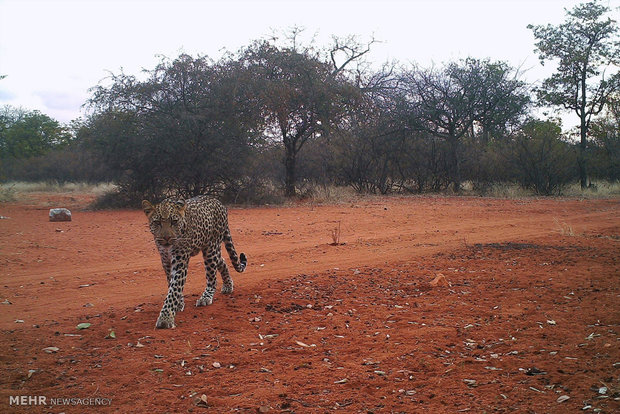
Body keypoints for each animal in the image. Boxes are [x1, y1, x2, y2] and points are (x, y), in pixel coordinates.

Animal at [142, 196, 246, 328]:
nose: (166, 238)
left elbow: (174, 289)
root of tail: (219, 203)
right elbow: (171, 283)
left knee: (212, 277)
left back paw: (206, 297)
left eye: (174, 222)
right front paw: (179, 304)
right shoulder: (166, 261)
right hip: (212, 250)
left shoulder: (180, 260)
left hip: (211, 249)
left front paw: (166, 318)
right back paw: (228, 285)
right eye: (157, 223)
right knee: (221, 261)